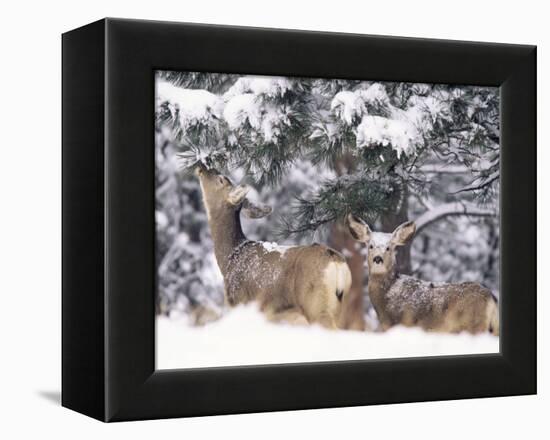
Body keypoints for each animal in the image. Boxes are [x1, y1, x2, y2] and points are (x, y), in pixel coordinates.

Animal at [196, 166, 352, 330]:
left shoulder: (240, 302)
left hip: (316, 304)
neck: (230, 257)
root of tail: (335, 260)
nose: (202, 167)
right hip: (339, 305)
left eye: (221, 179)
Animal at [350, 215, 500, 336]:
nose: (377, 258)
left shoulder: (404, 323)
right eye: (370, 246)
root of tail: (492, 298)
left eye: (388, 248)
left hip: (473, 325)